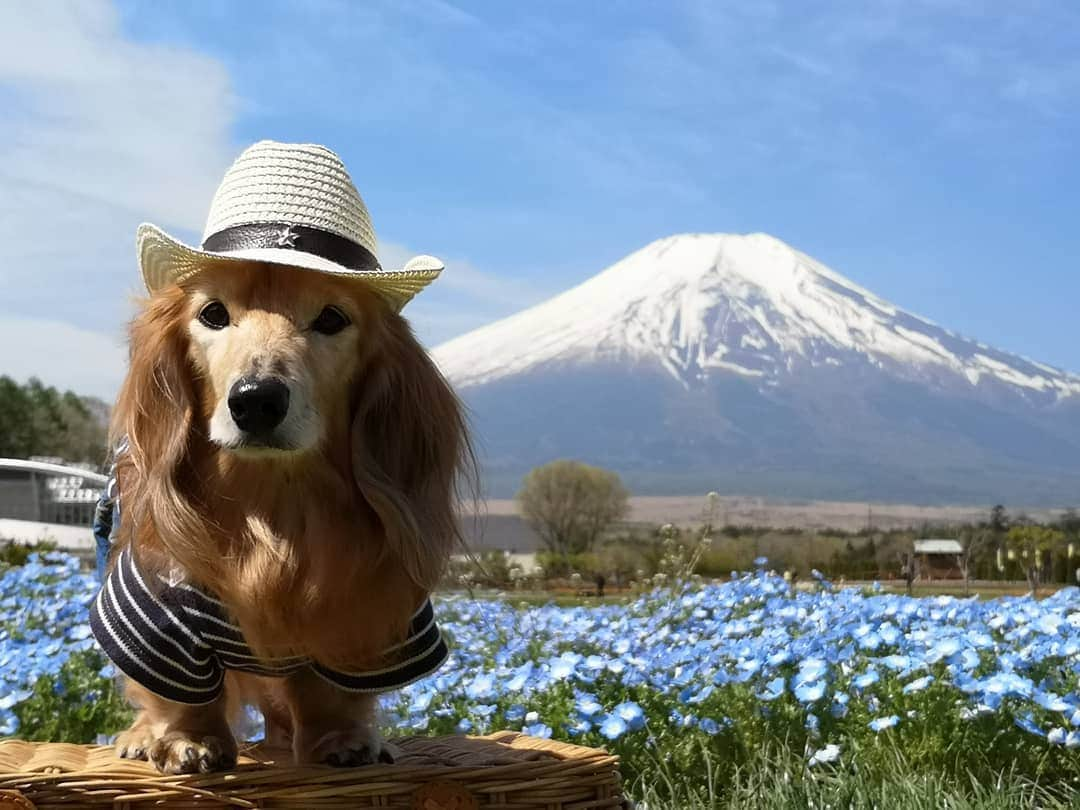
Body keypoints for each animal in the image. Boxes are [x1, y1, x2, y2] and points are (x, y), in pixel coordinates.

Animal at [87, 139, 468, 773]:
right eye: (213, 314)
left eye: (332, 318)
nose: (256, 401)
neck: (272, 507)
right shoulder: (157, 617)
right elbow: (181, 692)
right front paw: (185, 739)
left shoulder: (364, 613)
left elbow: (329, 689)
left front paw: (340, 739)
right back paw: (142, 736)